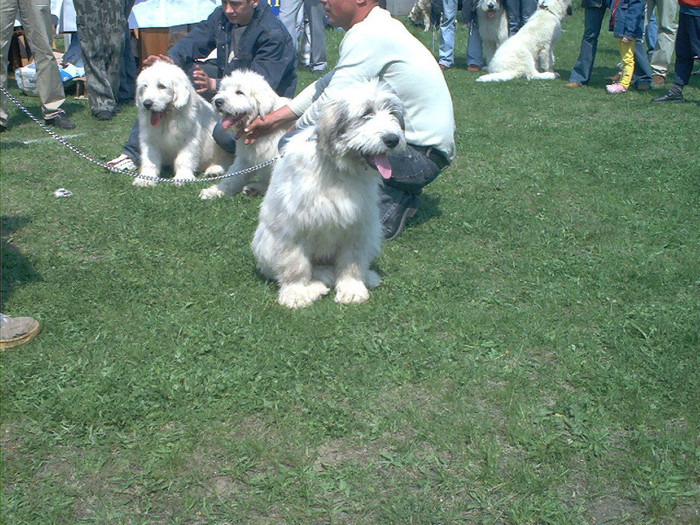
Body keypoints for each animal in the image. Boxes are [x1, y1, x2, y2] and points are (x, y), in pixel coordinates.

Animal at [198, 70, 288, 201]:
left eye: (239, 92)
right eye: (224, 90)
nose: (217, 102)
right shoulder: (244, 159)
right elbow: (232, 177)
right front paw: (214, 191)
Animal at [250, 80, 404, 310]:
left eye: (392, 113)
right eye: (366, 114)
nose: (393, 139)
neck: (338, 169)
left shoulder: (358, 225)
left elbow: (352, 262)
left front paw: (352, 289)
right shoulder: (293, 226)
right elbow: (295, 263)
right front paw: (296, 294)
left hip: (372, 233)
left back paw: (366, 276)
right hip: (266, 243)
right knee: (311, 272)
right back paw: (316, 286)